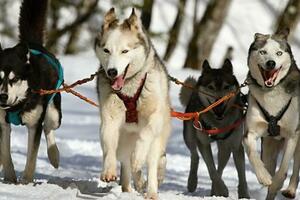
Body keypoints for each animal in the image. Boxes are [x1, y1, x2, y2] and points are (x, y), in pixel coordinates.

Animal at [0, 0, 61, 184]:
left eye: (14, 79)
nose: (2, 96)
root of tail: (32, 44)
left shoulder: (34, 125)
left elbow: (32, 158)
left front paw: (25, 182)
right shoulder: (2, 124)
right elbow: (5, 153)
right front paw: (10, 178)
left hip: (54, 113)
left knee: (48, 127)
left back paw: (54, 155)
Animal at [95, 8, 172, 200]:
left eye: (124, 51)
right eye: (106, 50)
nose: (112, 71)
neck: (129, 89)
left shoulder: (154, 118)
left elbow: (145, 135)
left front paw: (138, 156)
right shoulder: (109, 118)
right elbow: (108, 144)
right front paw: (108, 170)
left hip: (157, 142)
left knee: (151, 163)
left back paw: (151, 191)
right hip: (123, 143)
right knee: (126, 165)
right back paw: (131, 186)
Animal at [179, 59, 250, 198]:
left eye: (226, 87)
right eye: (211, 87)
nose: (219, 101)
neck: (218, 123)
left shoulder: (236, 146)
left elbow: (242, 175)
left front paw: (244, 195)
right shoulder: (204, 143)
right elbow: (211, 170)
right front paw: (222, 190)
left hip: (225, 148)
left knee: (221, 166)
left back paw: (214, 190)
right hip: (189, 136)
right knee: (195, 156)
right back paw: (192, 182)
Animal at [243, 28, 300, 199]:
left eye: (279, 53)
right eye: (263, 52)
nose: (271, 63)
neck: (271, 92)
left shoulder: (292, 135)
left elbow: (283, 170)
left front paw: (277, 182)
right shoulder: (251, 132)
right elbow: (253, 155)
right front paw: (264, 177)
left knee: (295, 166)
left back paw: (290, 190)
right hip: (269, 146)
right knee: (268, 163)